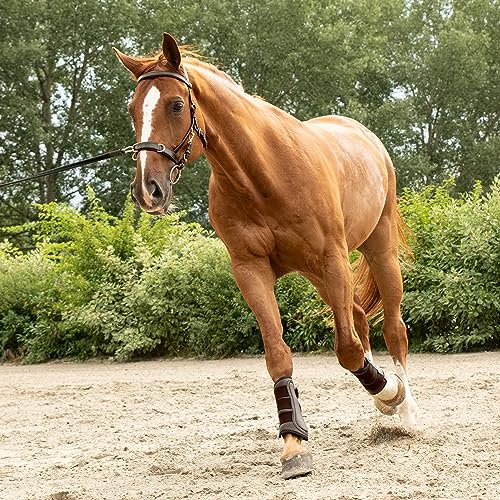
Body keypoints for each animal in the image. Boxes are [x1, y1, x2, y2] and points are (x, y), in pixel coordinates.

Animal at [113, 32, 418, 480]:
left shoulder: (332, 259)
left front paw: (389, 394)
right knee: (360, 319)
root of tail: (363, 135)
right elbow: (278, 355)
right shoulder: (251, 271)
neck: (263, 177)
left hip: (376, 252)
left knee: (393, 328)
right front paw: (294, 445)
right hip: (318, 275)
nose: (147, 190)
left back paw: (403, 403)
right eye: (133, 109)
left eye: (175, 104)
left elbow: (346, 349)